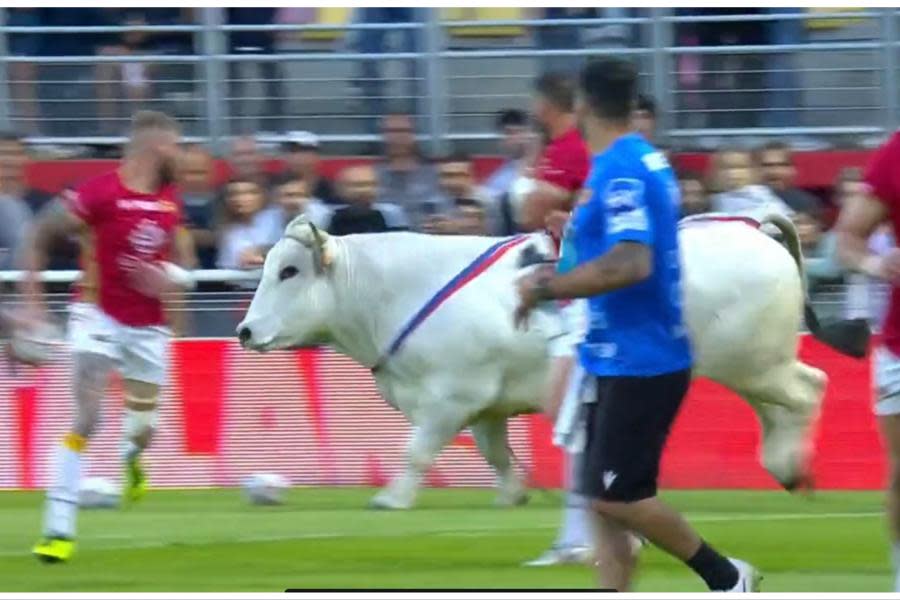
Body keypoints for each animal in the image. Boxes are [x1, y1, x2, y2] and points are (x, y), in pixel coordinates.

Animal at [237, 213, 864, 508]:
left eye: (289, 271)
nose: (244, 330)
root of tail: (749, 225)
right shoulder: (484, 404)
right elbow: (496, 454)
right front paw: (514, 494)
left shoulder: (448, 398)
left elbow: (415, 451)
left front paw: (390, 498)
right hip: (751, 363)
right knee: (780, 406)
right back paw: (789, 468)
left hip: (754, 359)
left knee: (808, 388)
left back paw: (794, 468)